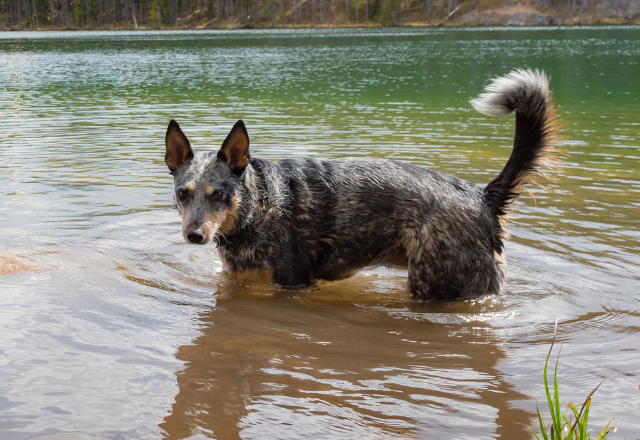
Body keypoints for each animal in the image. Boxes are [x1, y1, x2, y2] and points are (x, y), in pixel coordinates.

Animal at [164, 69, 560, 300]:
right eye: (183, 194)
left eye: (219, 195)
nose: (194, 236)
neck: (259, 206)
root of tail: (482, 196)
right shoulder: (236, 274)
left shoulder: (292, 284)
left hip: (436, 287)